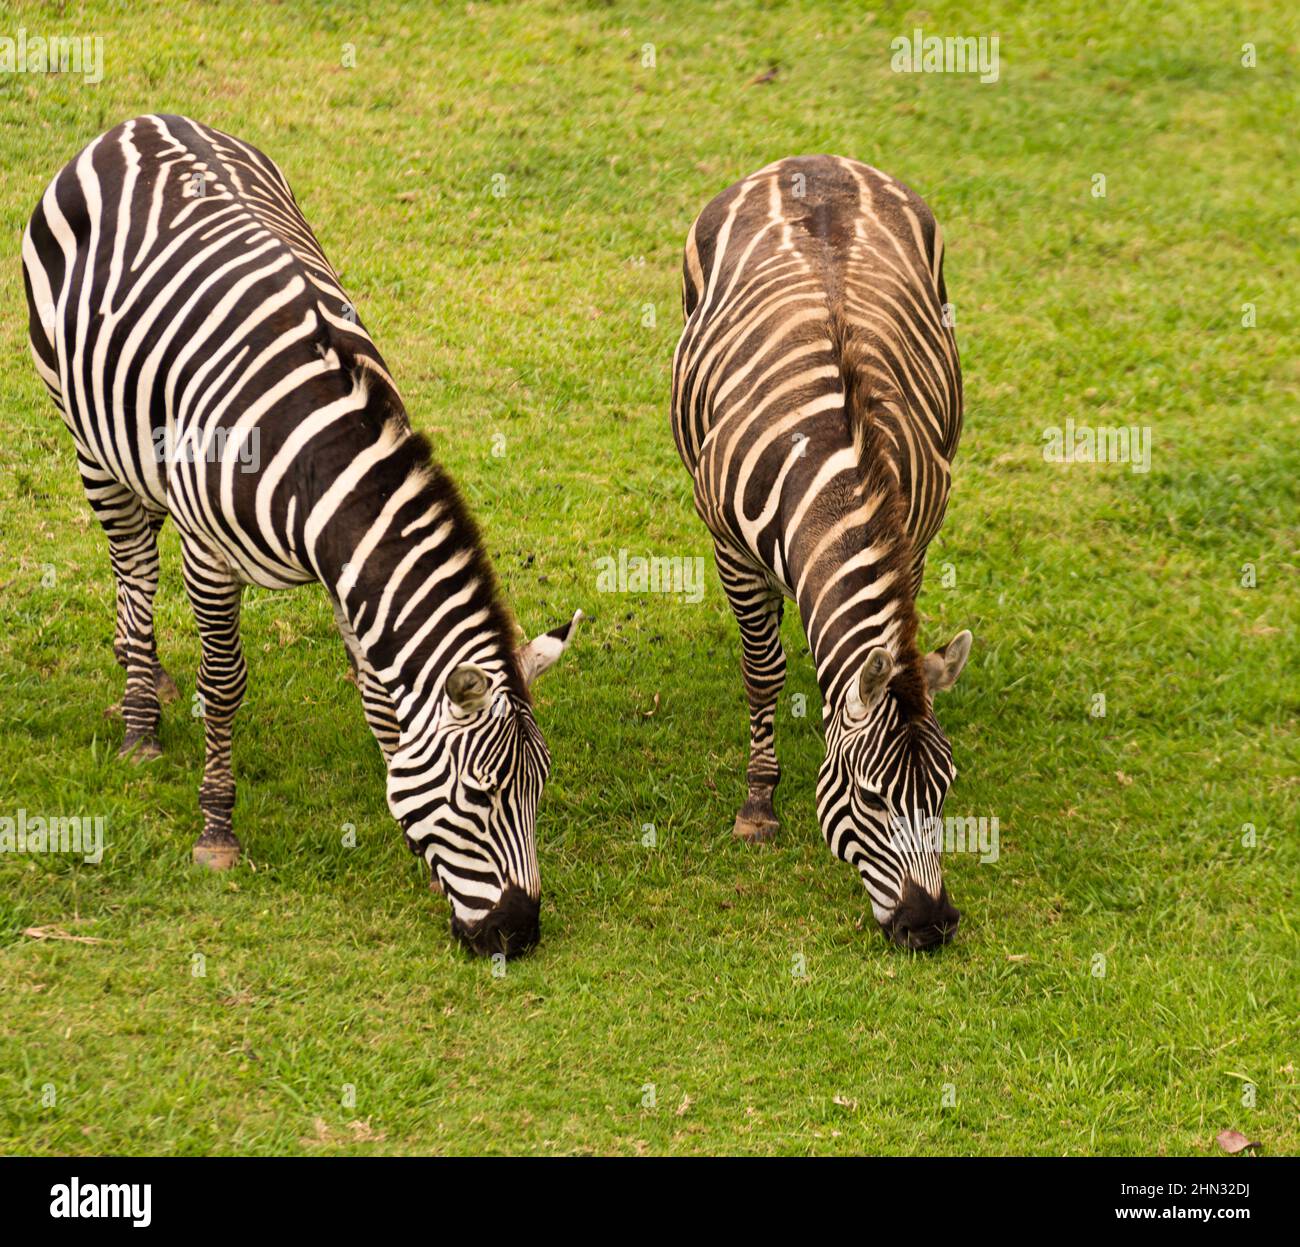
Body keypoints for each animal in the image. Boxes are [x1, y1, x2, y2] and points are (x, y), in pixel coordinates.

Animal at [21, 114, 579, 958]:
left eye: (539, 790)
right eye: (479, 795)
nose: (517, 935)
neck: (321, 456)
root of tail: (141, 121)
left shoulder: (352, 578)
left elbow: (382, 700)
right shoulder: (210, 554)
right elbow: (225, 683)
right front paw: (217, 830)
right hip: (87, 437)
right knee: (133, 563)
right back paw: (141, 717)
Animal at [671, 156, 973, 951]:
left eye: (944, 792)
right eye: (870, 797)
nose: (929, 927)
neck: (843, 473)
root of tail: (815, 161)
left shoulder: (912, 539)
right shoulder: (731, 551)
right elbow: (763, 670)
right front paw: (759, 802)